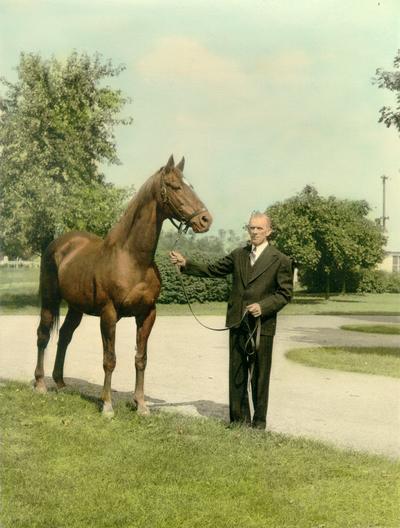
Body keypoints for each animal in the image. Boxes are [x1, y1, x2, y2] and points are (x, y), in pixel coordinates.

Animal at [33, 156, 212, 416]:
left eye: (191, 186)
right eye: (176, 187)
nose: (205, 220)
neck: (132, 258)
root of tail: (59, 243)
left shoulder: (147, 314)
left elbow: (141, 358)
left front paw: (141, 404)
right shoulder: (109, 314)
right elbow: (110, 359)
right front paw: (107, 405)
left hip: (77, 307)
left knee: (65, 336)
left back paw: (61, 383)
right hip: (50, 300)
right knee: (43, 335)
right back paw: (40, 384)